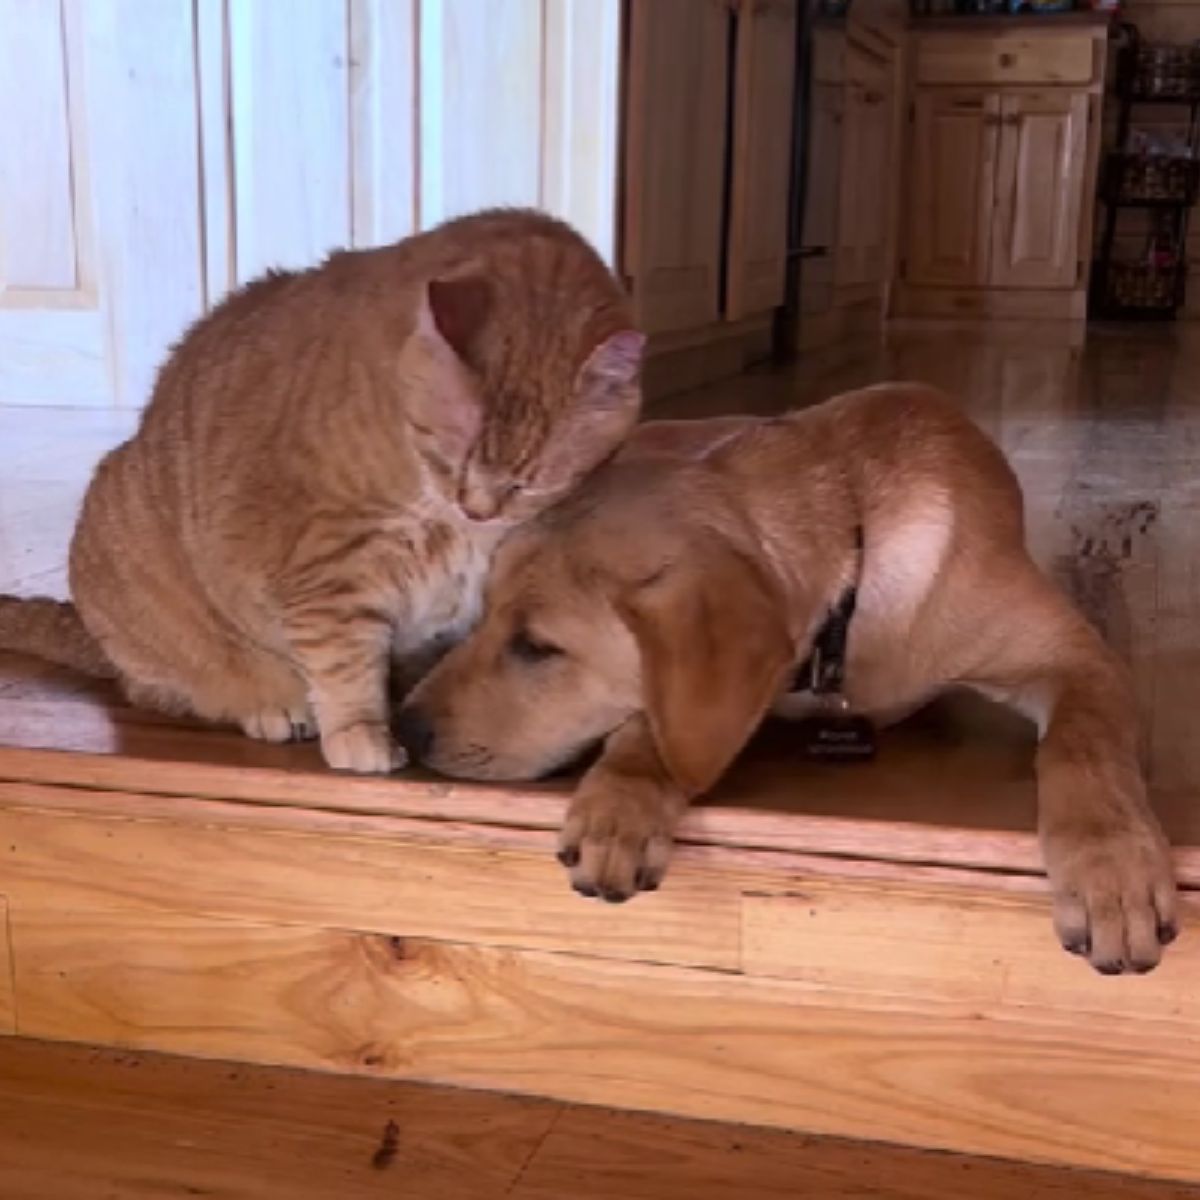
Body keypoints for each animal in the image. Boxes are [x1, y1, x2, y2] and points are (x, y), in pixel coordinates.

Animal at [2, 207, 648, 772]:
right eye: (450, 456)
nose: (478, 509)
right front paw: (363, 732)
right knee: (166, 687)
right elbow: (344, 661)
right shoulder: (329, 566)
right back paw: (271, 705)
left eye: (528, 482)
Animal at [398, 384, 1176, 974]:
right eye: (487, 616)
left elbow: (1084, 746)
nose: (404, 727)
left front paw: (1113, 869)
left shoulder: (1078, 655)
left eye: (537, 647)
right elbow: (657, 717)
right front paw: (622, 800)